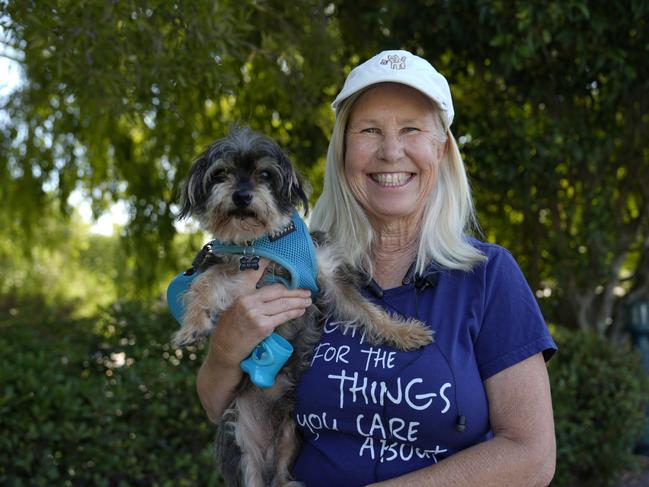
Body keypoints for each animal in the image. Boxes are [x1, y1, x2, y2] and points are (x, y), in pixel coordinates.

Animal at [172, 127, 430, 487]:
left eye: (265, 175)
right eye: (221, 173)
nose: (242, 196)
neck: (261, 243)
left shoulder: (327, 277)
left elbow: (367, 311)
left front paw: (405, 333)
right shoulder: (233, 273)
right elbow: (204, 282)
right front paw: (192, 325)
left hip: (290, 439)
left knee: (283, 477)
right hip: (240, 444)